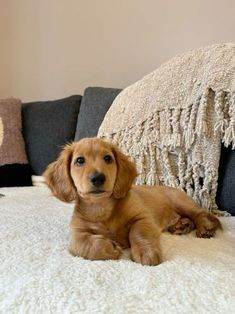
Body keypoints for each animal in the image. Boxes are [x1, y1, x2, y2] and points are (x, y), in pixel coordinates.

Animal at [43, 137, 221, 264]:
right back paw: (181, 225)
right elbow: (82, 244)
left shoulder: (142, 218)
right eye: (79, 160)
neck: (101, 208)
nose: (98, 178)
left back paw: (205, 227)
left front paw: (146, 251)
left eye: (108, 158)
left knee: (200, 213)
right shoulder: (76, 234)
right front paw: (109, 248)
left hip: (180, 201)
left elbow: (138, 232)